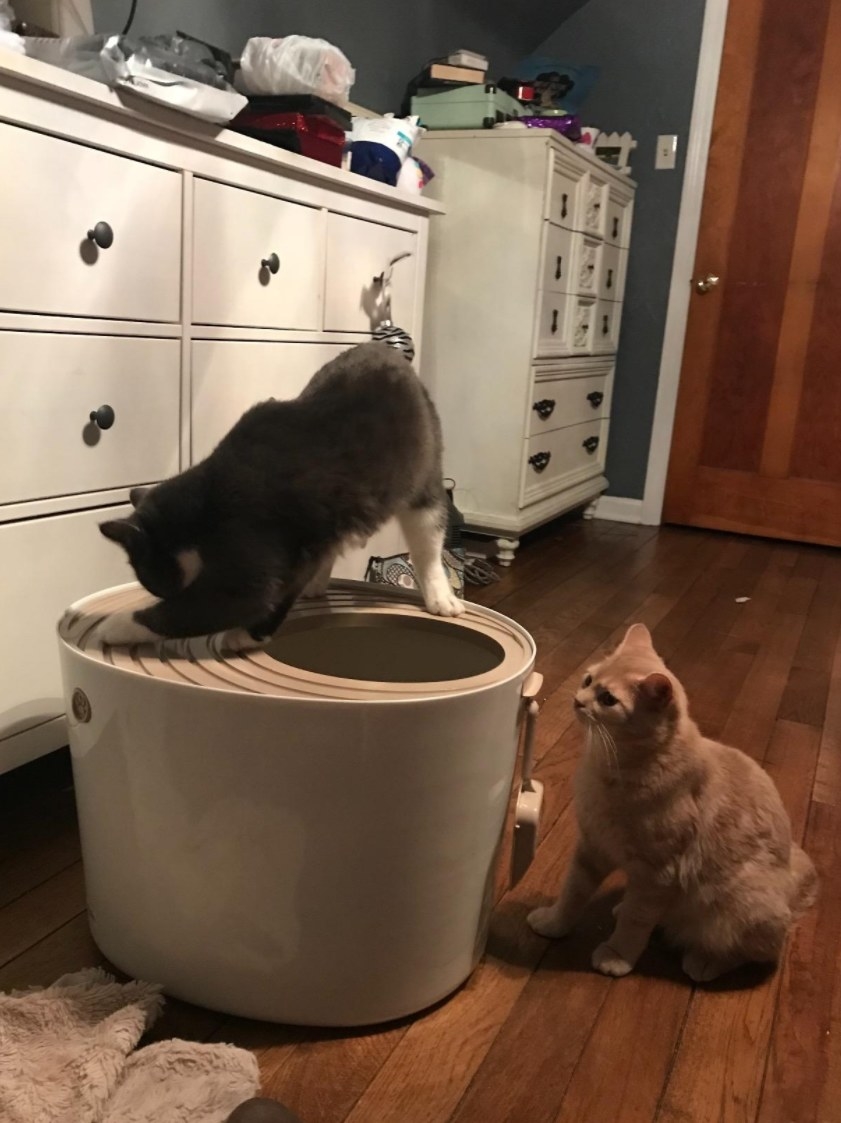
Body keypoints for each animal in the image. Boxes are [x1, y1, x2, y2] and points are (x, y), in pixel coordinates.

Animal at [101, 341, 464, 651]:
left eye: (153, 581)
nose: (162, 591)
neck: (203, 504)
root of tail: (387, 351)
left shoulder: (250, 556)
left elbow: (200, 608)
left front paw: (116, 625)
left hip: (424, 484)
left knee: (428, 547)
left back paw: (441, 597)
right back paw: (317, 584)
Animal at [527, 624, 817, 983]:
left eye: (607, 699)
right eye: (588, 680)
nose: (578, 701)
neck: (612, 767)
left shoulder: (658, 873)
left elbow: (636, 921)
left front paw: (617, 955)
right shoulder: (592, 847)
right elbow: (573, 894)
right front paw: (553, 922)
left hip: (746, 905)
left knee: (754, 952)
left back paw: (704, 961)